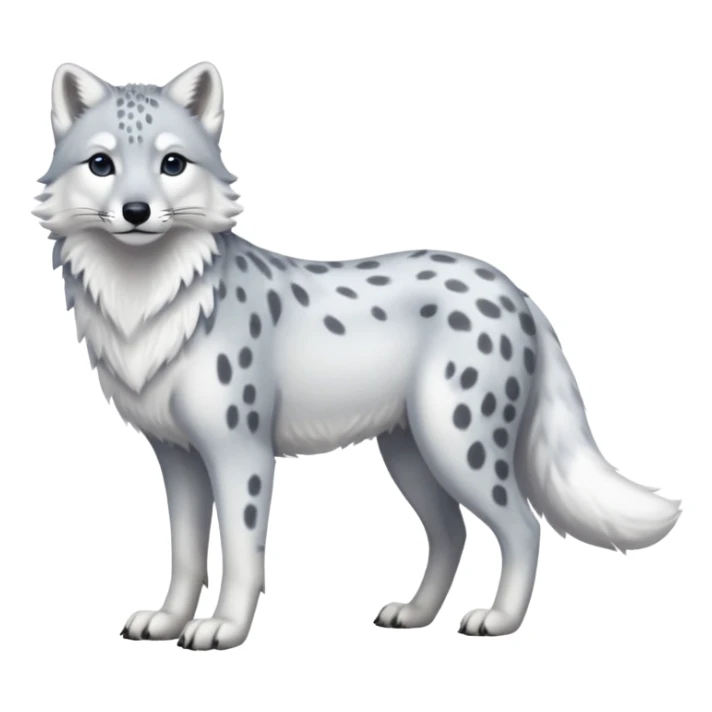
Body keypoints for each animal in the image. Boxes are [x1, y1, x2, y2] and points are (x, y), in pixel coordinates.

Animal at [34, 61, 682, 651]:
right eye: (101, 164)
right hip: (411, 452)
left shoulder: (241, 452)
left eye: (173, 163)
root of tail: (513, 286)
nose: (136, 212)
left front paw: (225, 630)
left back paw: (499, 621)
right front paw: (168, 622)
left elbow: (242, 552)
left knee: (522, 528)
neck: (149, 300)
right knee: (450, 535)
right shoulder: (178, 456)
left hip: (458, 446)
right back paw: (415, 615)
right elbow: (186, 552)